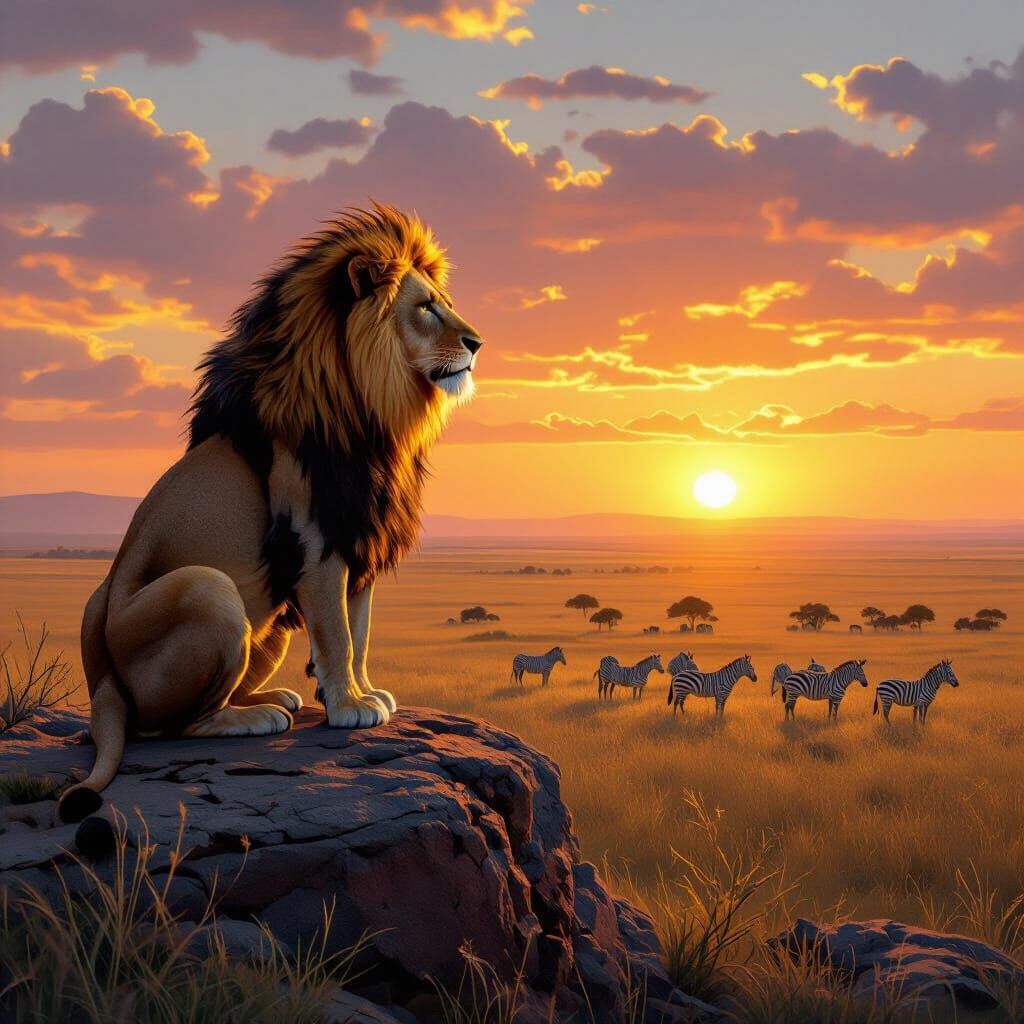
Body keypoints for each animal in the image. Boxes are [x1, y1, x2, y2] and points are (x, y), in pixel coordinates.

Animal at [58, 204, 484, 823]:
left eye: (443, 301)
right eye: (426, 306)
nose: (478, 342)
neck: (374, 413)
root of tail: (100, 678)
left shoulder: (358, 537)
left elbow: (359, 630)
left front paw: (363, 691)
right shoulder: (316, 537)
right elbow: (337, 632)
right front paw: (349, 706)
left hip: (273, 614)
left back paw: (272, 696)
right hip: (209, 591)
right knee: (167, 726)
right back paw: (253, 717)